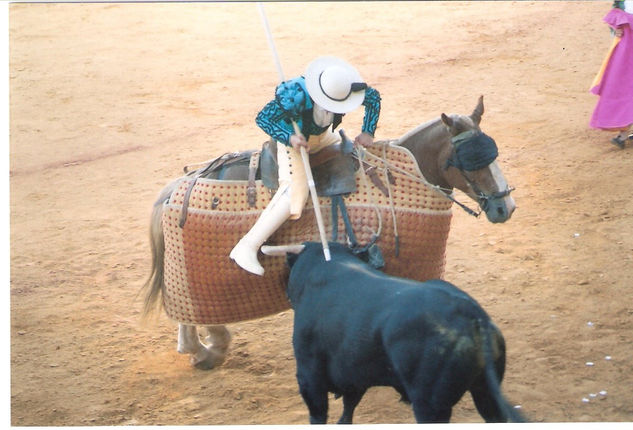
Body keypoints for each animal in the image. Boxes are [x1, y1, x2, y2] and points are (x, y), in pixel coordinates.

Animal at [142, 95, 512, 368]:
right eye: (469, 158)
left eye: (492, 151)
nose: (505, 207)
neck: (399, 176)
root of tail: (178, 186)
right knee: (189, 309)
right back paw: (208, 347)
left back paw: (203, 349)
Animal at [282, 242, 524, 424]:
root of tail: (471, 312)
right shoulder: (354, 376)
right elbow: (347, 411)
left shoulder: (309, 377)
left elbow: (320, 414)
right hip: (486, 393)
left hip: (431, 406)